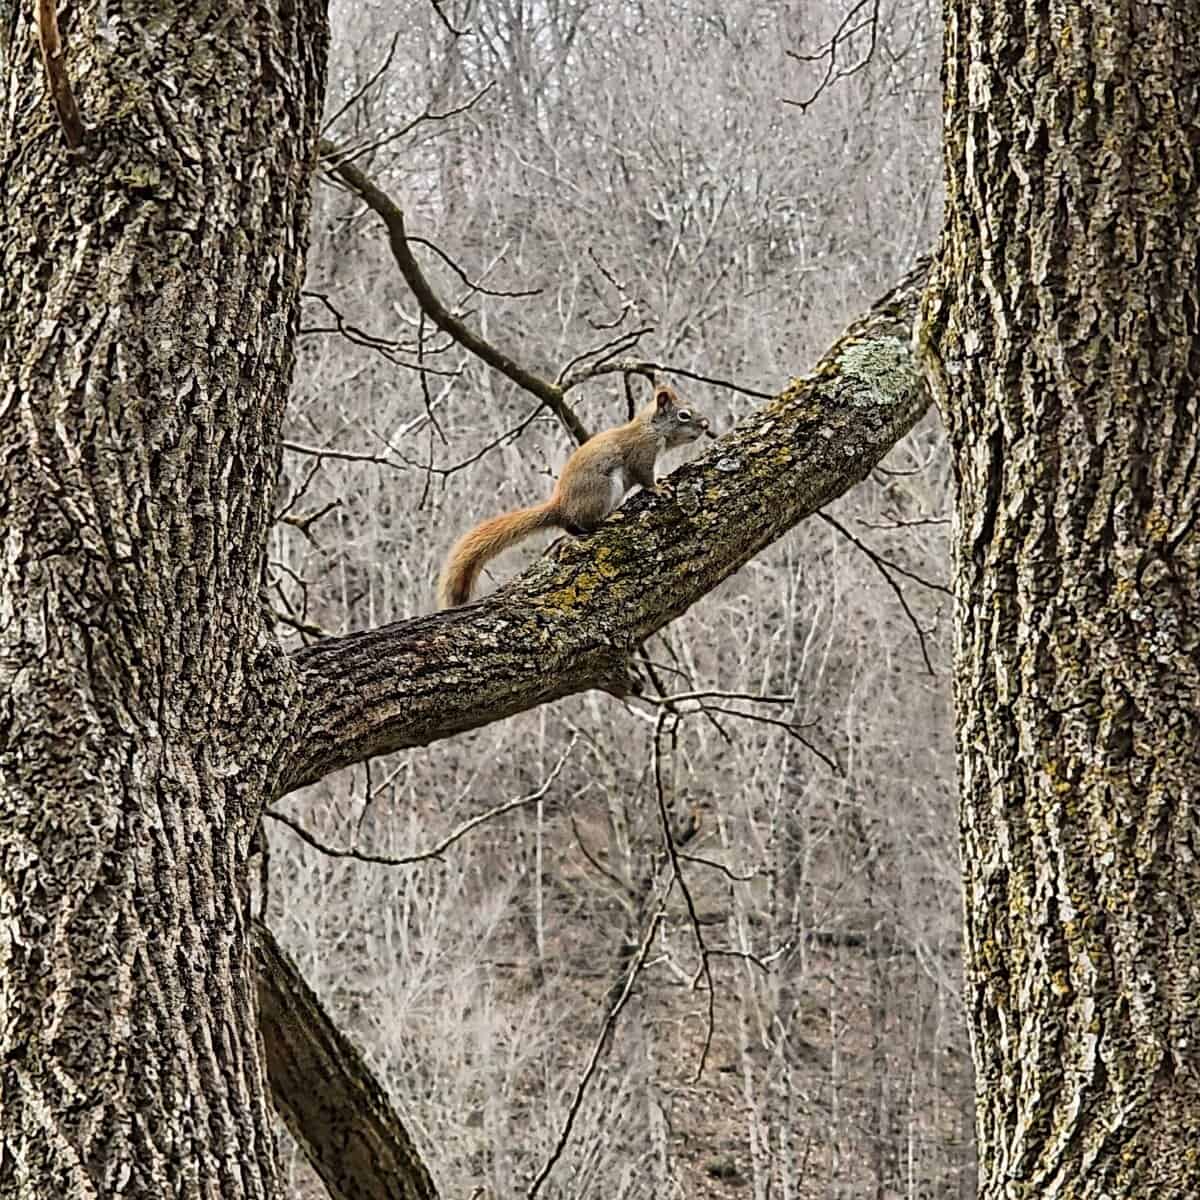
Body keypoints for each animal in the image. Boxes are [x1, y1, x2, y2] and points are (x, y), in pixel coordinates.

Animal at [438, 381, 710, 608]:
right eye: (683, 415)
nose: (705, 424)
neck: (651, 428)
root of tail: (560, 507)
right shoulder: (641, 453)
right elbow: (645, 477)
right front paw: (658, 487)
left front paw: (661, 480)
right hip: (603, 489)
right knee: (581, 523)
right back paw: (607, 519)